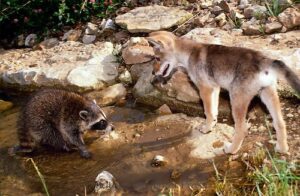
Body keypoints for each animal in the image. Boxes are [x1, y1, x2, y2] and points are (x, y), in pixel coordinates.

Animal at [148, 30, 300, 154]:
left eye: (157, 58)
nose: (153, 73)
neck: (188, 54)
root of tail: (265, 61)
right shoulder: (214, 88)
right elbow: (213, 110)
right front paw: (212, 125)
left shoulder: (205, 89)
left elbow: (208, 112)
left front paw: (207, 128)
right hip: (268, 95)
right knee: (280, 123)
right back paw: (282, 149)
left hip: (237, 100)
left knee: (241, 129)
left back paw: (231, 150)